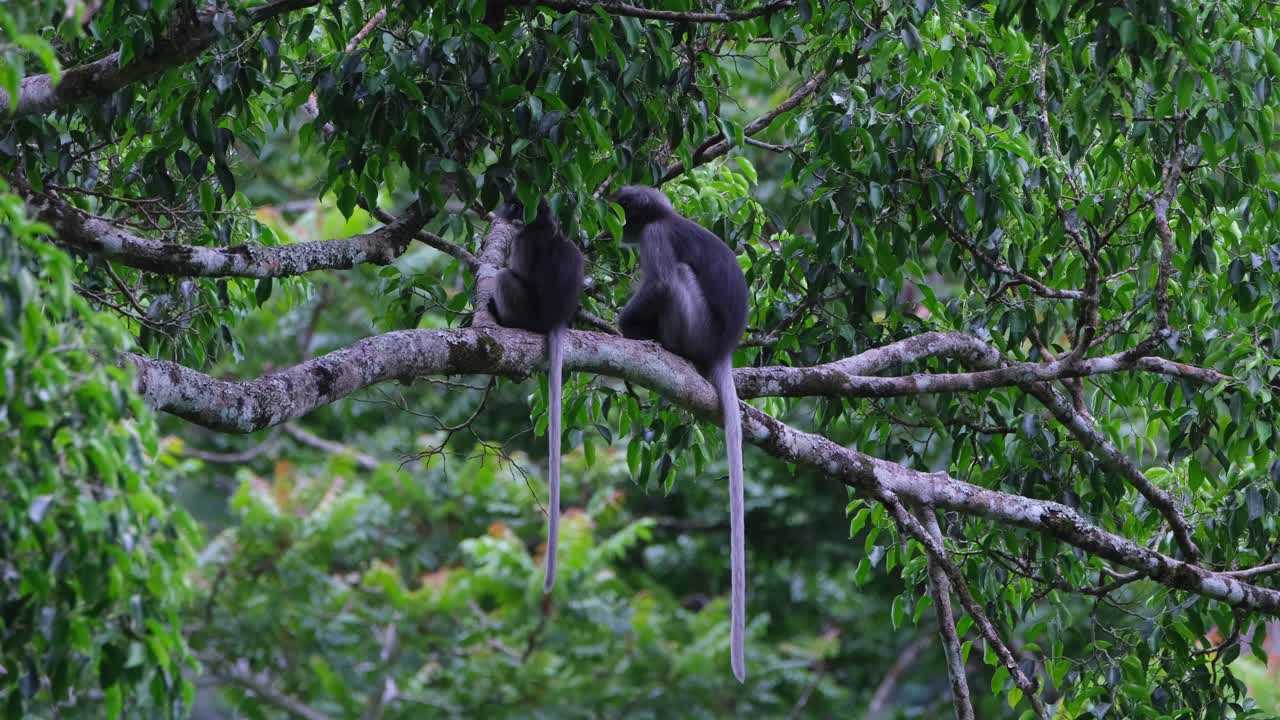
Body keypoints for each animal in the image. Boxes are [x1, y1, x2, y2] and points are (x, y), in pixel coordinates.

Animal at [607, 185, 749, 682]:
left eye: (626, 211)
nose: (618, 229)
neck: (663, 218)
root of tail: (723, 349)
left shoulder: (655, 239)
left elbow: (661, 284)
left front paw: (625, 326)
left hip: (697, 328)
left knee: (677, 280)